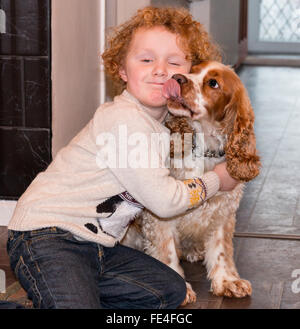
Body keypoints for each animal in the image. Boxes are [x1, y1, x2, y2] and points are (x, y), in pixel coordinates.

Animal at [120, 60, 262, 304]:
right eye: (193, 69)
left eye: (213, 83)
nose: (177, 77)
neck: (206, 150)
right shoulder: (160, 216)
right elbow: (166, 251)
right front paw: (183, 290)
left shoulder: (223, 210)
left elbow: (221, 250)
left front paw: (227, 281)